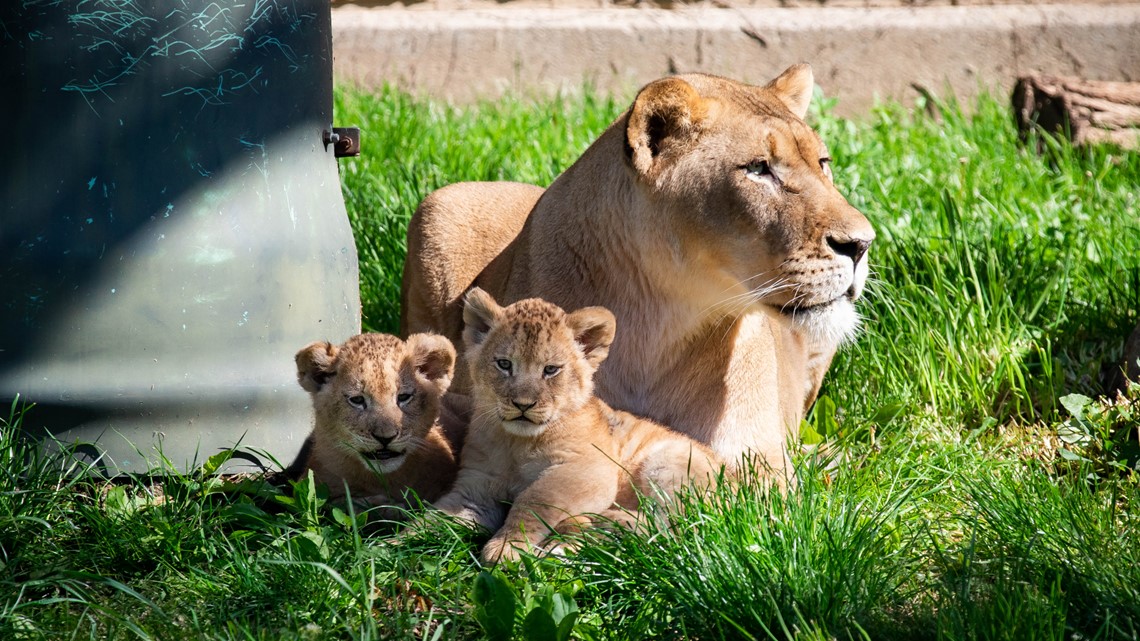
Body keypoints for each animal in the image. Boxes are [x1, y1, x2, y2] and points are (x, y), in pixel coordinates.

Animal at [286, 332, 459, 509]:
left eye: (403, 397)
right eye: (357, 400)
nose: (386, 438)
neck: (383, 479)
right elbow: (341, 503)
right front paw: (384, 506)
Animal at [402, 64, 874, 477]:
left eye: (823, 163)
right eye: (758, 168)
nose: (862, 244)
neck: (659, 322)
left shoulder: (759, 463)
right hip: (442, 206)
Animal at [429, 288, 722, 563]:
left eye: (551, 369)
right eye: (504, 364)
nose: (523, 404)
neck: (517, 442)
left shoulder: (590, 469)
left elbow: (534, 499)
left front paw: (506, 547)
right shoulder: (477, 482)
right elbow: (439, 514)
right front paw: (416, 542)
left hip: (671, 461)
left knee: (680, 528)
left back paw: (602, 522)